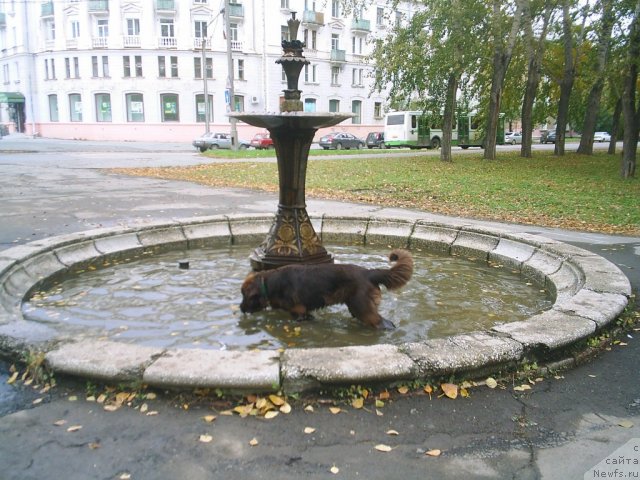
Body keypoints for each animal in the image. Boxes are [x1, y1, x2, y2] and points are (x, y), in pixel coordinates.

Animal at [238, 249, 412, 328]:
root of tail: (369, 272)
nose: (240, 308)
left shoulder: (299, 311)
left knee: (382, 323)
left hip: (363, 307)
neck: (269, 283)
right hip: (355, 307)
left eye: (245, 296)